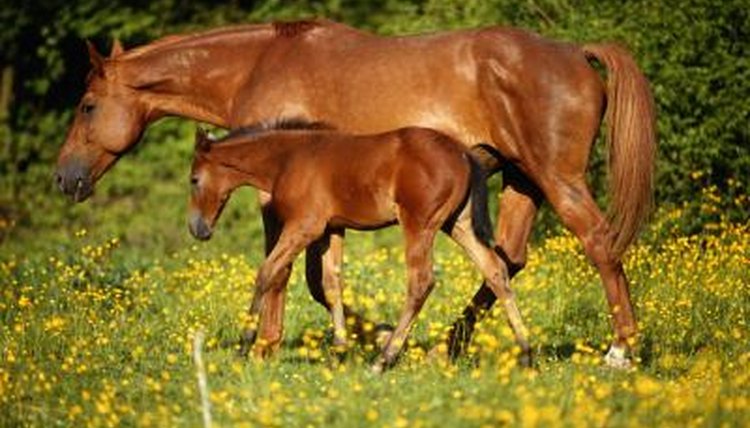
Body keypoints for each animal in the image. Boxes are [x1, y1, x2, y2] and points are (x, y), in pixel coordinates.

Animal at [186, 120, 532, 372]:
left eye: (194, 179)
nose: (197, 228)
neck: (289, 159)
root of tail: (462, 153)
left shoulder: (304, 226)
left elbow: (266, 272)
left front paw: (244, 345)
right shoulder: (331, 229)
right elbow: (331, 284)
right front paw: (340, 352)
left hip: (419, 225)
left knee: (421, 282)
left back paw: (384, 359)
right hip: (457, 224)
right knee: (495, 270)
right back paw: (526, 353)